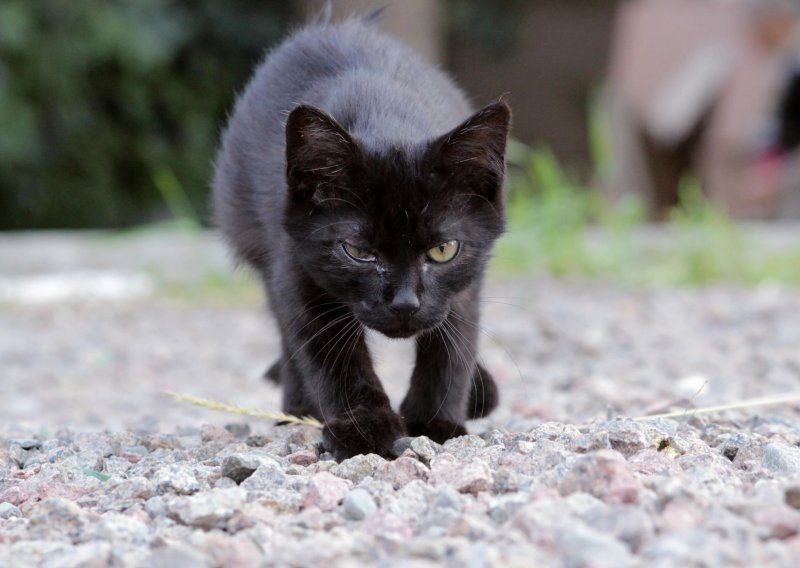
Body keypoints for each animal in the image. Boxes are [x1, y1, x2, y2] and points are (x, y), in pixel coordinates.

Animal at [214, 15, 512, 460]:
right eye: (357, 251)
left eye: (443, 250)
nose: (404, 303)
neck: (386, 117)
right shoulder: (296, 266)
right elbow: (331, 353)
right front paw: (364, 429)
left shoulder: (465, 285)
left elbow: (452, 345)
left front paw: (435, 422)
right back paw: (298, 407)